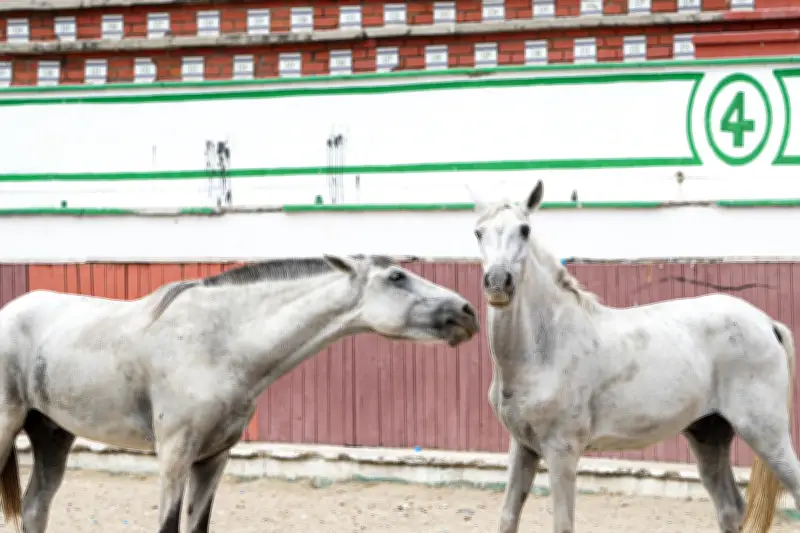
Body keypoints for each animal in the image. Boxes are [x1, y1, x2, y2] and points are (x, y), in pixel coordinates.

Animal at [0, 254, 480, 533]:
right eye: (397, 276)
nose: (467, 311)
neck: (221, 343)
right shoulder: (175, 456)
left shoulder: (214, 458)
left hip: (52, 435)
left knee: (35, 508)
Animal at [468, 180, 800, 533]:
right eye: (478, 232)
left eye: (525, 229)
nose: (498, 282)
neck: (546, 348)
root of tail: (767, 323)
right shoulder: (523, 447)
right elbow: (507, 518)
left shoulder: (562, 451)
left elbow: (563, 523)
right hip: (709, 435)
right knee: (730, 509)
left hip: (766, 433)